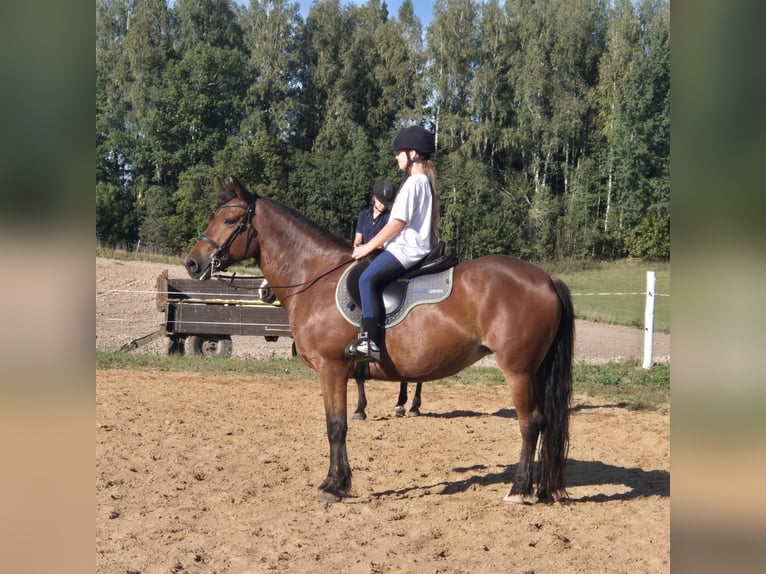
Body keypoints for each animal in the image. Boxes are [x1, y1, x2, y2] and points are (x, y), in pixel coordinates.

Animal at [183, 178, 572, 506]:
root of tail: (546, 279)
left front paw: (333, 485)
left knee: (530, 423)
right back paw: (537, 488)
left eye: (230, 220)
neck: (314, 276)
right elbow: (337, 423)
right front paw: (339, 481)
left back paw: (518, 489)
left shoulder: (331, 368)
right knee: (542, 422)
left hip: (518, 370)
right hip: (535, 370)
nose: (193, 263)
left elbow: (336, 427)